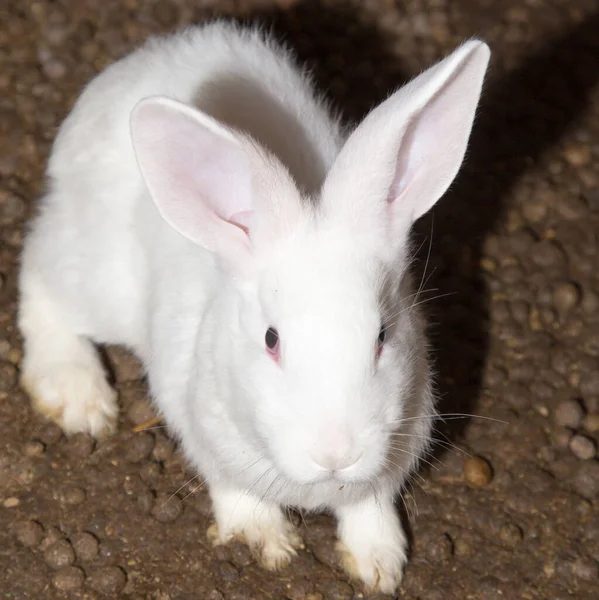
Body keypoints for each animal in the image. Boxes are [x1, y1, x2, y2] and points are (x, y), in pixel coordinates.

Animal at [18, 24, 490, 596]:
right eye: (271, 339)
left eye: (383, 336)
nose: (335, 454)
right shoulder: (207, 437)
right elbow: (237, 494)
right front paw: (268, 542)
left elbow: (369, 509)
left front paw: (379, 566)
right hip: (95, 275)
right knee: (40, 283)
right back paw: (76, 394)